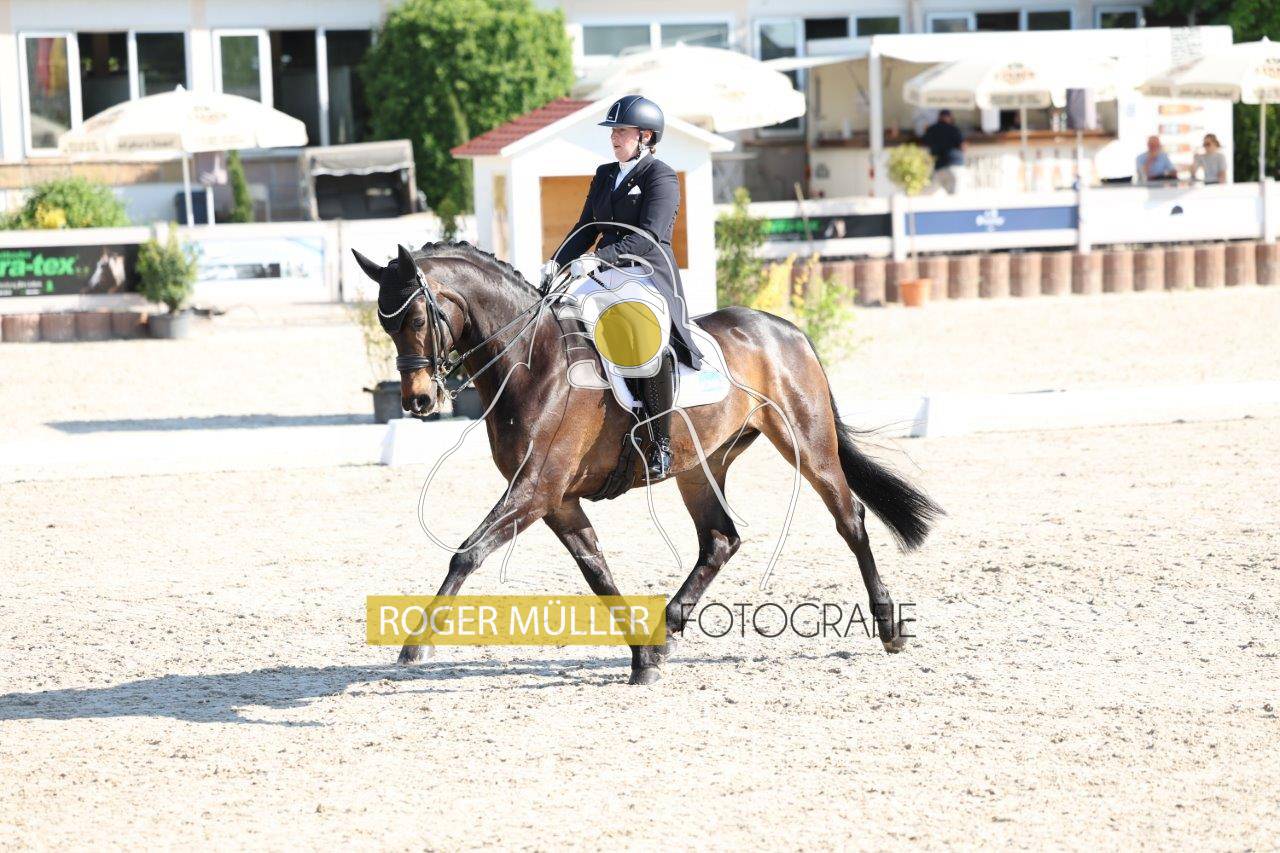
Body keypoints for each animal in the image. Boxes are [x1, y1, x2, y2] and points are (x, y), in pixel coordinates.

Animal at [353, 241, 942, 685]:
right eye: (385, 325)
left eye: (417, 317)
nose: (419, 401)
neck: (533, 361)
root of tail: (785, 329)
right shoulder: (556, 500)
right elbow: (597, 572)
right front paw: (642, 658)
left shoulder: (537, 490)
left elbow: (467, 554)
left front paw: (415, 647)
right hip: (699, 466)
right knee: (720, 540)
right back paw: (667, 633)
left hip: (808, 444)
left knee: (850, 519)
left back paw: (889, 627)